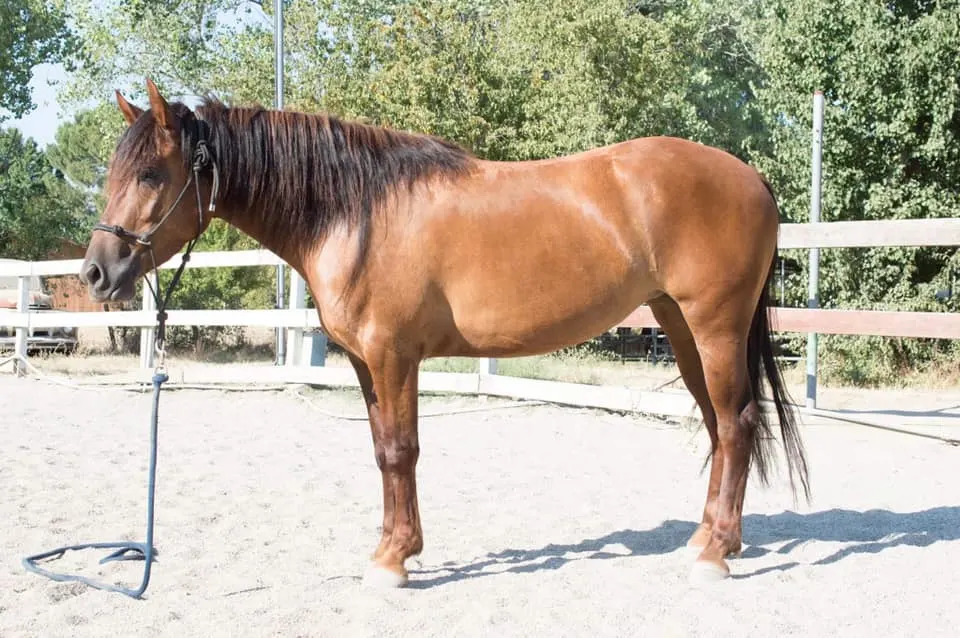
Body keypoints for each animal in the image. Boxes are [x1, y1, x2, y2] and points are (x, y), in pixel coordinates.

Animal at [79, 77, 808, 588]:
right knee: (718, 426)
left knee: (736, 423)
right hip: (681, 328)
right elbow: (381, 451)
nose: (95, 272)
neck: (357, 211)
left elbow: (402, 451)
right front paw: (393, 545)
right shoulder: (365, 364)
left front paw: (394, 561)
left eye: (150, 174)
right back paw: (706, 537)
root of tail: (752, 177)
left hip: (714, 327)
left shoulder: (394, 356)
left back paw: (717, 553)